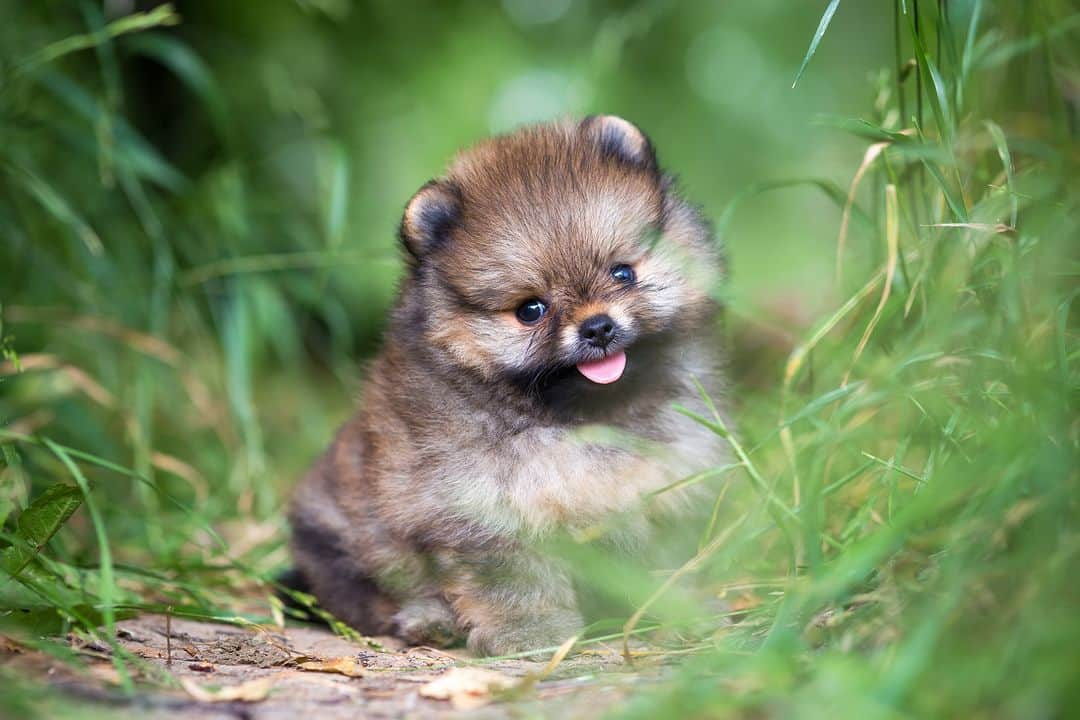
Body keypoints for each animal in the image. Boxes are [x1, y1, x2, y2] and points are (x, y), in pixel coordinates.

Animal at [287, 115, 730, 656]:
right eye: (530, 310)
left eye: (623, 272)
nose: (598, 327)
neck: (581, 421)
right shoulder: (485, 508)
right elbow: (515, 581)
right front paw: (530, 633)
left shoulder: (666, 488)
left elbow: (664, 564)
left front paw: (680, 611)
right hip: (339, 534)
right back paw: (431, 620)